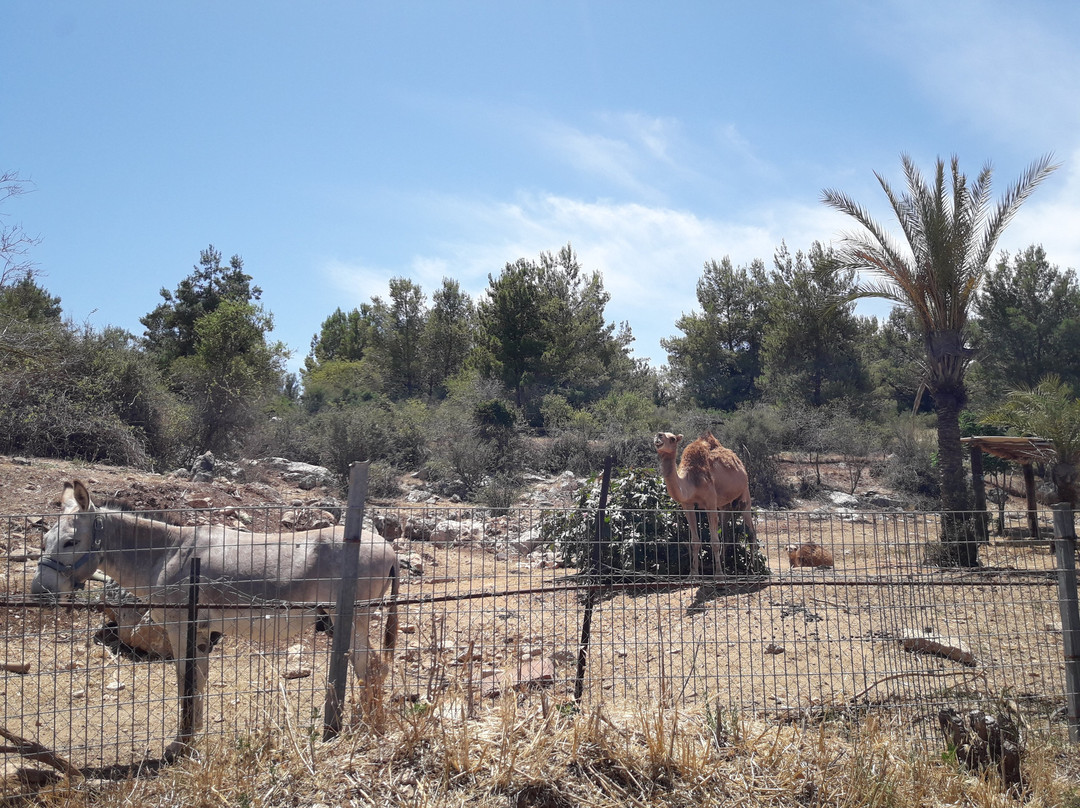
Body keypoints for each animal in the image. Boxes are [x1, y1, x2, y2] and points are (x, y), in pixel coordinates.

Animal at [652, 429, 756, 574]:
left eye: (672, 438)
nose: (658, 435)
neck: (691, 480)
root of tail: (740, 463)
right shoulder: (687, 504)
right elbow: (695, 541)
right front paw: (693, 573)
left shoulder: (710, 502)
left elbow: (714, 541)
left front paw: (719, 575)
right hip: (724, 505)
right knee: (726, 534)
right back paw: (723, 564)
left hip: (744, 493)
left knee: (751, 532)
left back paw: (752, 568)